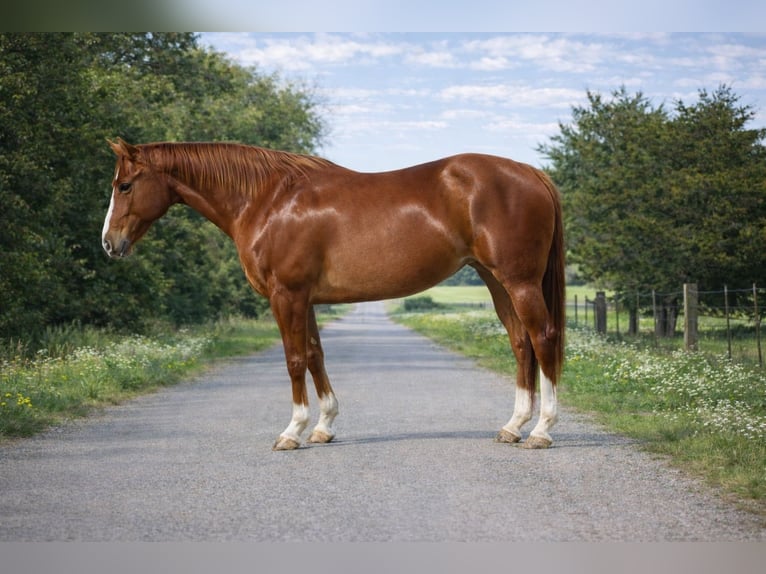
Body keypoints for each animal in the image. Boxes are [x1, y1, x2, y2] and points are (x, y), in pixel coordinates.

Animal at [102, 138, 565, 450]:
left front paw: (292, 431)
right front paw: (323, 426)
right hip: (495, 280)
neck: (267, 200)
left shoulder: (286, 295)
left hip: (519, 281)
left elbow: (293, 359)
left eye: (124, 185)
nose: (109, 243)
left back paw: (541, 431)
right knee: (520, 343)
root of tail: (530, 172)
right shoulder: (303, 298)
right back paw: (513, 426)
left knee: (542, 339)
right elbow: (314, 355)